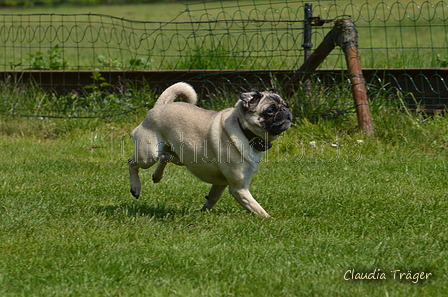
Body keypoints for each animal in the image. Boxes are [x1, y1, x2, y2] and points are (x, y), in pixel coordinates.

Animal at [128, 82, 292, 216]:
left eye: (286, 105)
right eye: (270, 111)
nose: (286, 111)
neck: (244, 130)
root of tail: (160, 106)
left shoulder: (221, 183)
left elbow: (213, 197)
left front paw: (203, 211)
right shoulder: (239, 188)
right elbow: (257, 208)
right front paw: (270, 220)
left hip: (180, 155)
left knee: (164, 157)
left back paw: (157, 176)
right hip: (149, 155)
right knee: (132, 162)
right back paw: (136, 188)